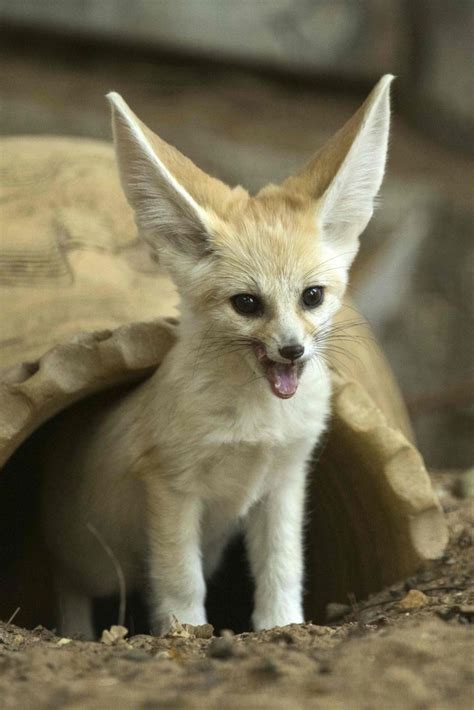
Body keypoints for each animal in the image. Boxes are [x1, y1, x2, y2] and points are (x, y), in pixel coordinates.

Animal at [41, 75, 393, 640]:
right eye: (247, 304)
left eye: (312, 297)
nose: (292, 349)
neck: (258, 423)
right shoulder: (172, 487)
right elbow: (180, 581)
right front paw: (185, 632)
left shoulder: (284, 481)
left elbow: (281, 570)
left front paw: (281, 627)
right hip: (92, 565)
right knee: (69, 588)